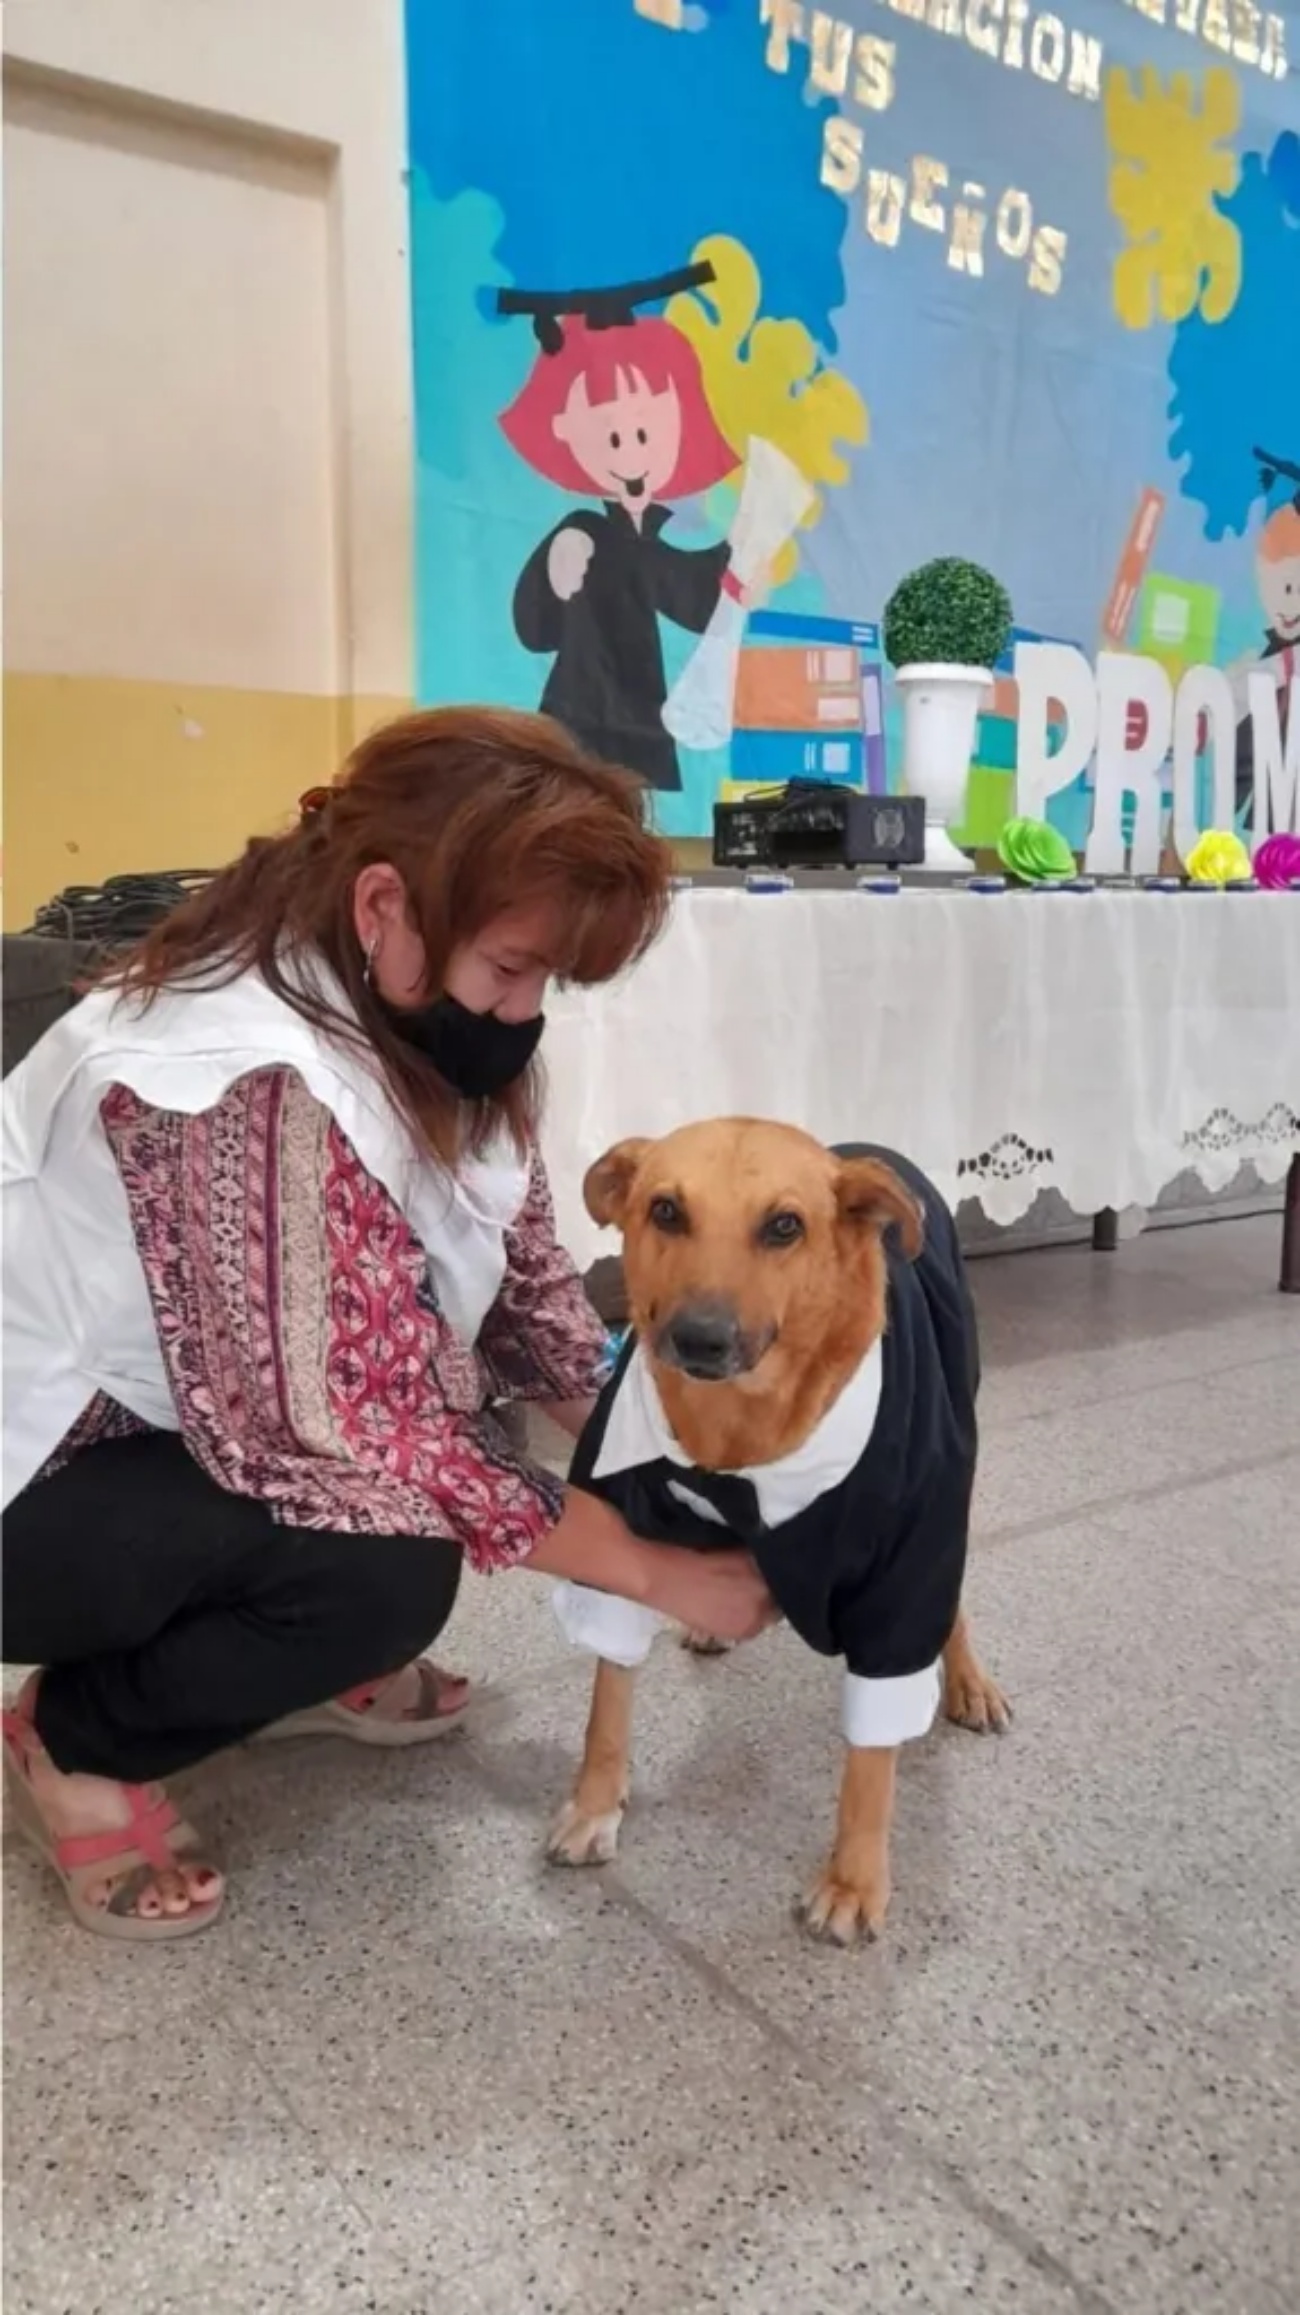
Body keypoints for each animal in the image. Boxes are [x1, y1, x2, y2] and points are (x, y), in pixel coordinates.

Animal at [541, 1111, 1008, 1944]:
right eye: (665, 1210)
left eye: (785, 1225)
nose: (698, 1339)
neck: (740, 1436)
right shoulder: (622, 1532)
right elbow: (607, 1705)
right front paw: (595, 1804)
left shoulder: (906, 1563)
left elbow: (870, 1760)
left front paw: (854, 1880)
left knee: (951, 1600)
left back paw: (968, 1680)